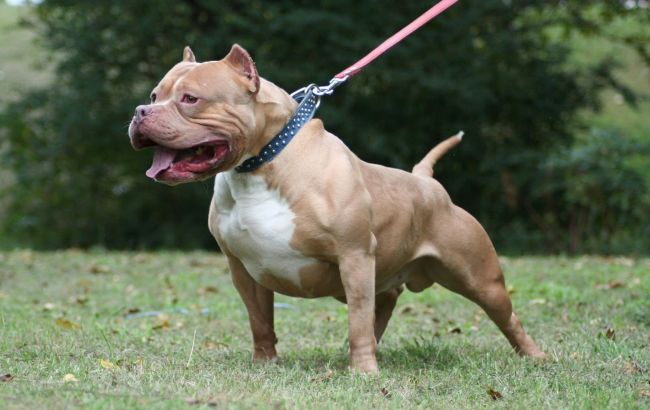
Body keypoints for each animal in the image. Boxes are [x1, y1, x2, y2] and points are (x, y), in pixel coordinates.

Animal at [128, 44, 545, 373]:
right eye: (154, 94)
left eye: (190, 99)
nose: (140, 112)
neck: (261, 162)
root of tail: (427, 182)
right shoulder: (242, 269)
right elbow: (260, 321)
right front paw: (265, 363)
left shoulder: (354, 256)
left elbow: (356, 321)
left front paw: (364, 373)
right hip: (382, 277)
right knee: (383, 304)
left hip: (481, 279)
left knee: (507, 318)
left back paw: (535, 356)